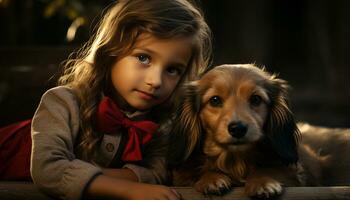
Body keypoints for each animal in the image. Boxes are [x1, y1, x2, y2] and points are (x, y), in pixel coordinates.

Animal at [168, 64, 308, 198]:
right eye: (215, 100)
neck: (236, 161)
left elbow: (270, 169)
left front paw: (262, 181)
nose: (237, 129)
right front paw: (211, 178)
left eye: (256, 99)